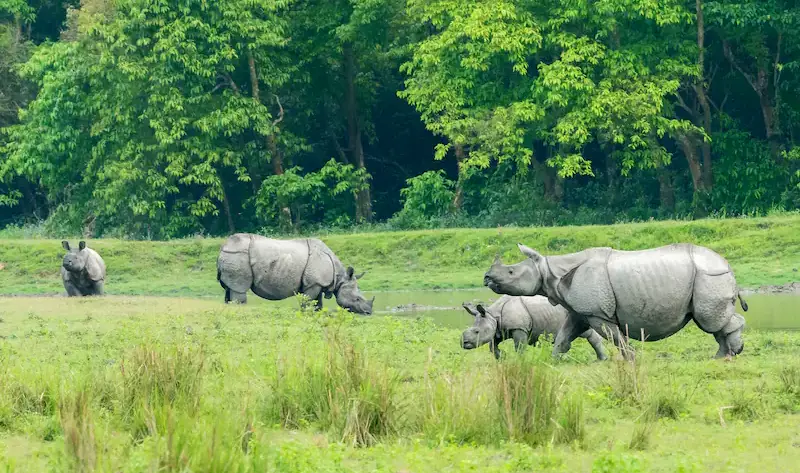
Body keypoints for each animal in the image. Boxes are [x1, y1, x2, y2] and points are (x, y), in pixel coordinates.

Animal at [217, 232, 376, 314]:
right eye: (357, 299)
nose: (369, 313)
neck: (340, 277)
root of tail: (223, 247)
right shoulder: (313, 283)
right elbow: (308, 302)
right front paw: (305, 313)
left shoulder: (317, 283)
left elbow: (318, 303)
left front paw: (317, 313)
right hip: (238, 255)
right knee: (239, 290)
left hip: (233, 256)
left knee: (229, 289)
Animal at [462, 296, 608, 362]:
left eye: (476, 332)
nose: (464, 344)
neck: (493, 315)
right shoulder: (500, 329)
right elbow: (492, 346)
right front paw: (502, 357)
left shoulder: (519, 328)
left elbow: (519, 346)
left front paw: (520, 360)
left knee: (587, 333)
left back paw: (601, 360)